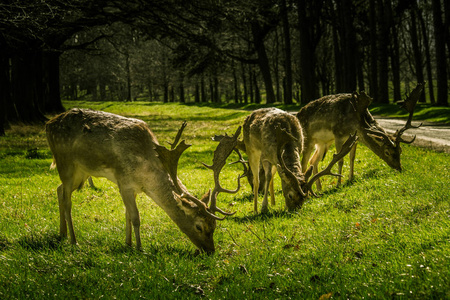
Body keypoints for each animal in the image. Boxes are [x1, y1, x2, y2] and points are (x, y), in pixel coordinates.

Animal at [45, 108, 244, 253]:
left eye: (215, 226)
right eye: (199, 227)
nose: (210, 251)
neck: (145, 176)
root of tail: (48, 124)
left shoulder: (133, 188)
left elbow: (127, 214)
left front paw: (128, 244)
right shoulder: (123, 181)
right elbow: (135, 217)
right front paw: (140, 248)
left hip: (82, 171)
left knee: (59, 189)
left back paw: (62, 234)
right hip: (65, 162)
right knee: (67, 200)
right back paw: (73, 240)